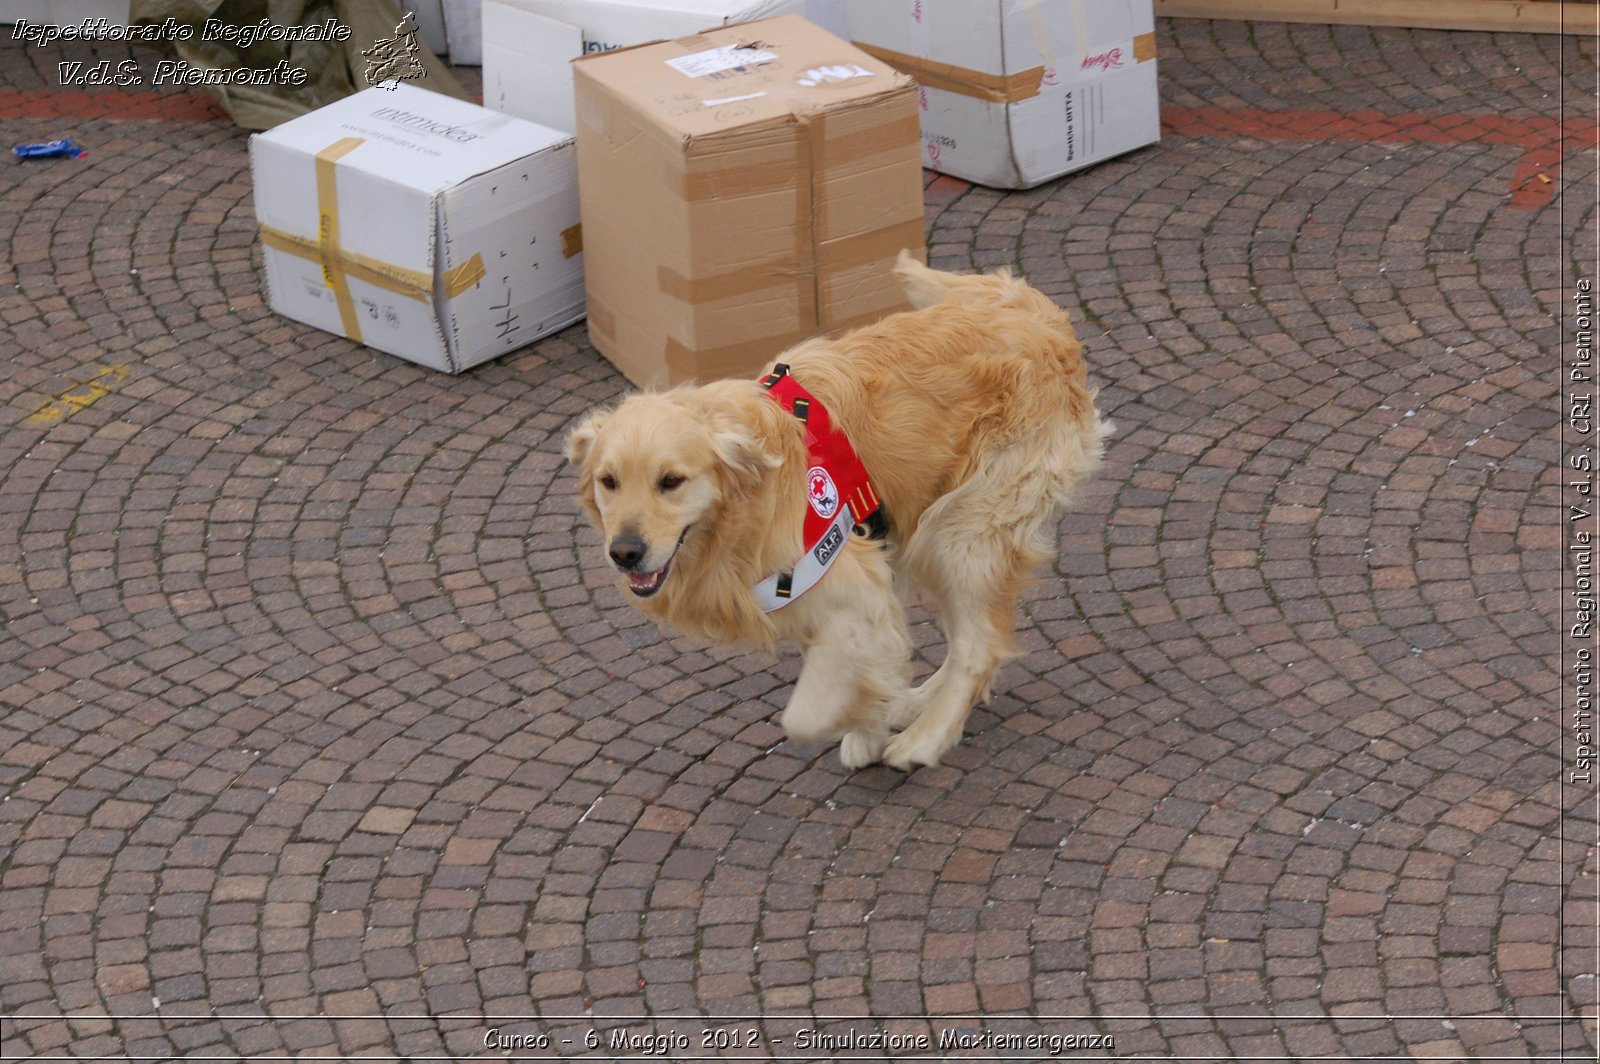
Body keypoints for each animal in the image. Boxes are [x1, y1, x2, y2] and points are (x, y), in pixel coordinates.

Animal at [566, 252, 1113, 768]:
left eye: (671, 482)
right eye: (609, 482)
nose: (625, 552)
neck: (749, 505)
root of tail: (1033, 312)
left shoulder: (849, 581)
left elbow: (806, 716)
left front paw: (865, 721)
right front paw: (872, 716)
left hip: (960, 527)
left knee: (980, 645)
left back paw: (924, 738)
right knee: (973, 636)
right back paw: (915, 703)